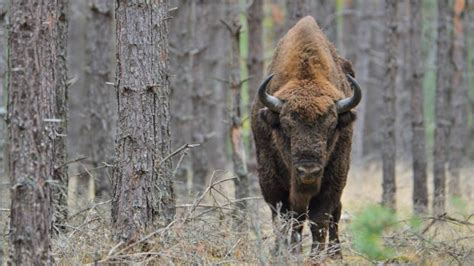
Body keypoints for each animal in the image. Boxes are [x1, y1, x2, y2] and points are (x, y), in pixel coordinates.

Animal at [250, 15, 362, 256]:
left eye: (332, 126)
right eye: (286, 126)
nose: (308, 170)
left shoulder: (333, 179)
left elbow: (319, 219)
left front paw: (316, 255)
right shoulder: (271, 182)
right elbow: (286, 218)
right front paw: (284, 252)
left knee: (335, 214)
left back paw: (335, 254)